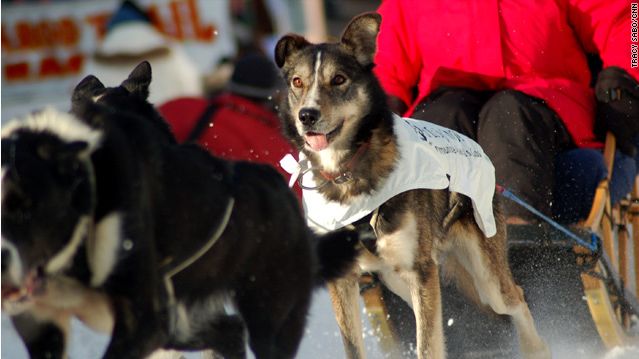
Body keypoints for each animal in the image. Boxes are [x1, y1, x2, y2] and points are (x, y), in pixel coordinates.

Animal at [274, 12, 552, 358]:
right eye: (297, 82)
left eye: (338, 79)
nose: (307, 115)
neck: (347, 173)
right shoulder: (346, 279)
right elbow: (356, 346)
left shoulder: (420, 271)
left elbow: (427, 346)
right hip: (401, 280)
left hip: (483, 276)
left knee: (516, 299)